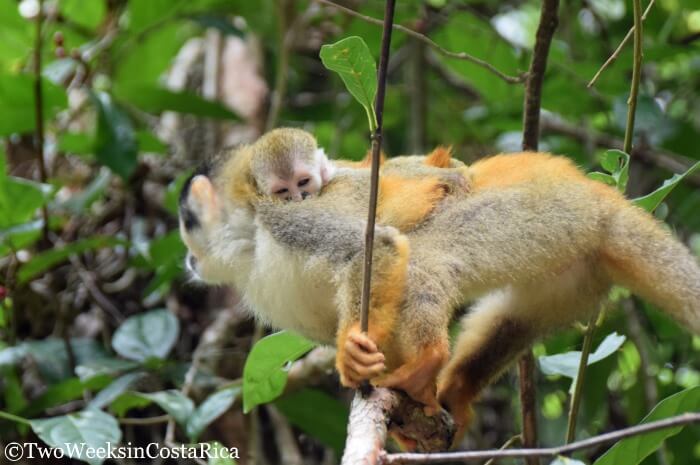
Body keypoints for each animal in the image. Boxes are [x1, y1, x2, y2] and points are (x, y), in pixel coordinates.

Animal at [179, 149, 700, 441]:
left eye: (185, 221)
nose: (187, 258)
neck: (250, 243)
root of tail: (603, 198)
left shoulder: (283, 217)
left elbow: (377, 245)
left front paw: (353, 356)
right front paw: (404, 419)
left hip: (536, 211)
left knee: (426, 255)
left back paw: (428, 359)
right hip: (567, 260)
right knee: (515, 317)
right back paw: (454, 387)